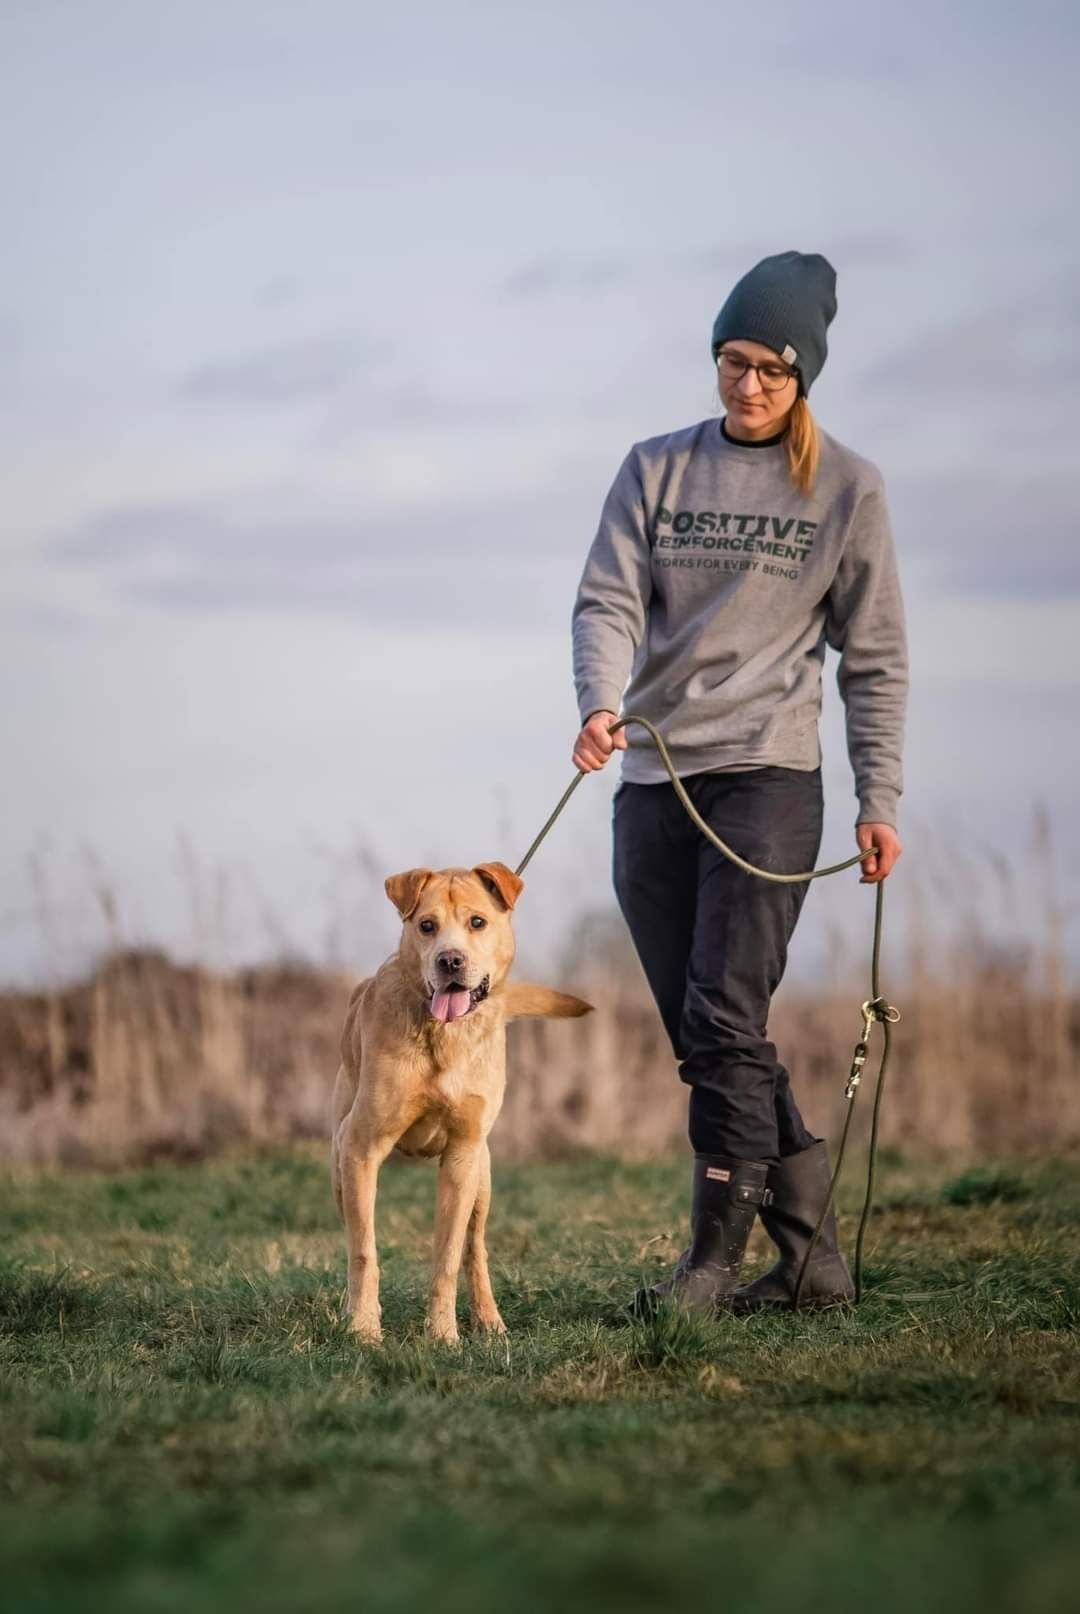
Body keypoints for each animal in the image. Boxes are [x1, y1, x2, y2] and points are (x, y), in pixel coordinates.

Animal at [332, 865, 594, 1342]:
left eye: (477, 922)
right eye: (426, 925)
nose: (450, 961)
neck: (444, 1033)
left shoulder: (462, 1156)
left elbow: (449, 1255)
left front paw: (442, 1335)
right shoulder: (361, 1149)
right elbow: (363, 1251)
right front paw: (363, 1328)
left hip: (482, 1177)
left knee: (477, 1249)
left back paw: (489, 1321)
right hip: (339, 1163)